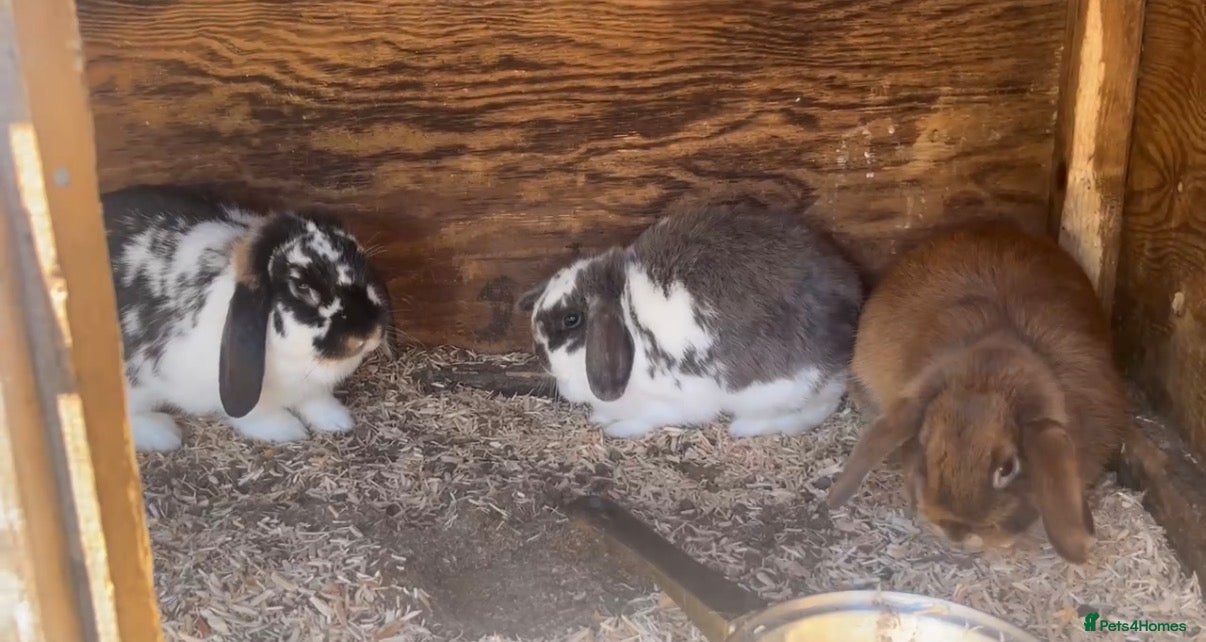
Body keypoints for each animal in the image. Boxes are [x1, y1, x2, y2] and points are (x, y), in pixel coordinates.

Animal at [102, 185, 395, 452]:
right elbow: (256, 414)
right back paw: (164, 434)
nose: (369, 332)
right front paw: (288, 429)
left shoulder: (311, 389)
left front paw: (337, 420)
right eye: (302, 287)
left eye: (363, 267)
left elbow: (316, 401)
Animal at [516, 203, 865, 439]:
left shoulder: (674, 401)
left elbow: (649, 418)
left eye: (571, 319)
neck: (625, 310)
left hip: (783, 388)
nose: (539, 353)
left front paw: (618, 428)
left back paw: (746, 427)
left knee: (817, 407)